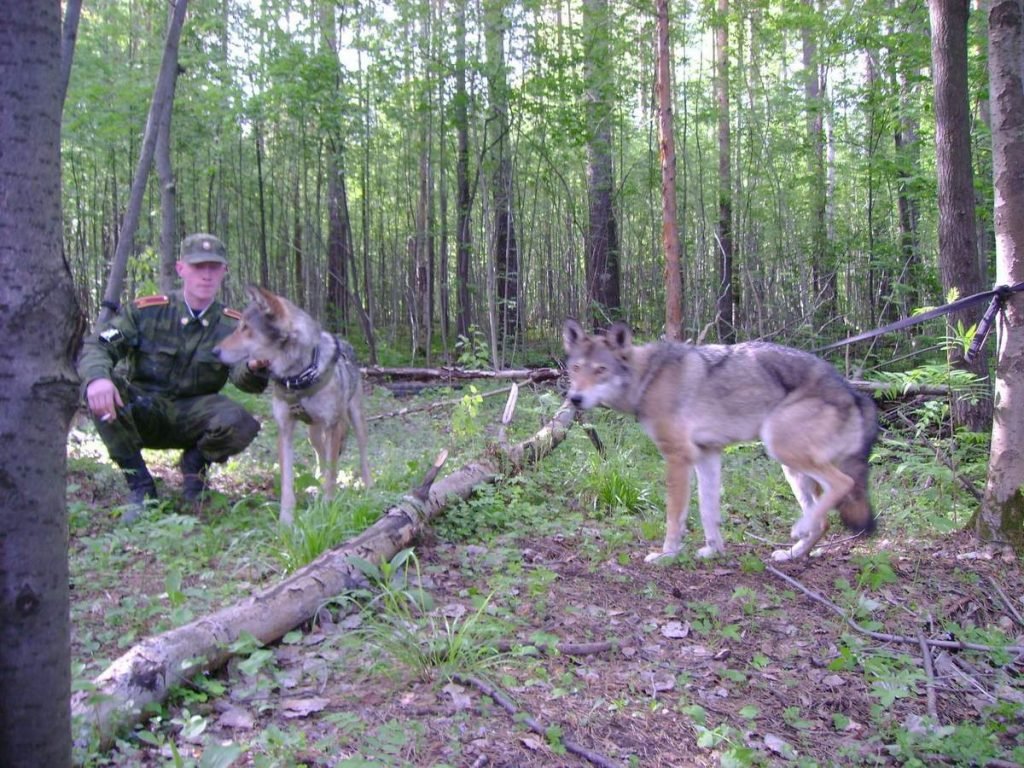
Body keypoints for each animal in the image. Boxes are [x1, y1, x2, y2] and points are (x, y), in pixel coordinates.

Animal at [212, 286, 372, 528]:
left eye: (245, 328)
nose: (214, 351)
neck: (297, 377)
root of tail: (347, 344)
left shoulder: (332, 427)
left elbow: (332, 475)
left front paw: (327, 509)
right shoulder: (285, 428)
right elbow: (288, 482)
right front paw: (286, 521)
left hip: (355, 420)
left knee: (360, 456)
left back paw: (369, 487)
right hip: (313, 434)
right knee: (321, 457)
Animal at [561, 319, 880, 565]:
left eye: (600, 370)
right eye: (576, 368)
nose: (574, 398)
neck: (648, 378)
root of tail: (854, 393)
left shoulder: (677, 457)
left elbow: (674, 516)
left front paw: (667, 555)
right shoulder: (707, 455)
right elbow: (707, 510)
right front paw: (713, 551)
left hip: (781, 449)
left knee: (842, 484)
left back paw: (800, 530)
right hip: (792, 469)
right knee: (823, 519)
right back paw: (793, 553)